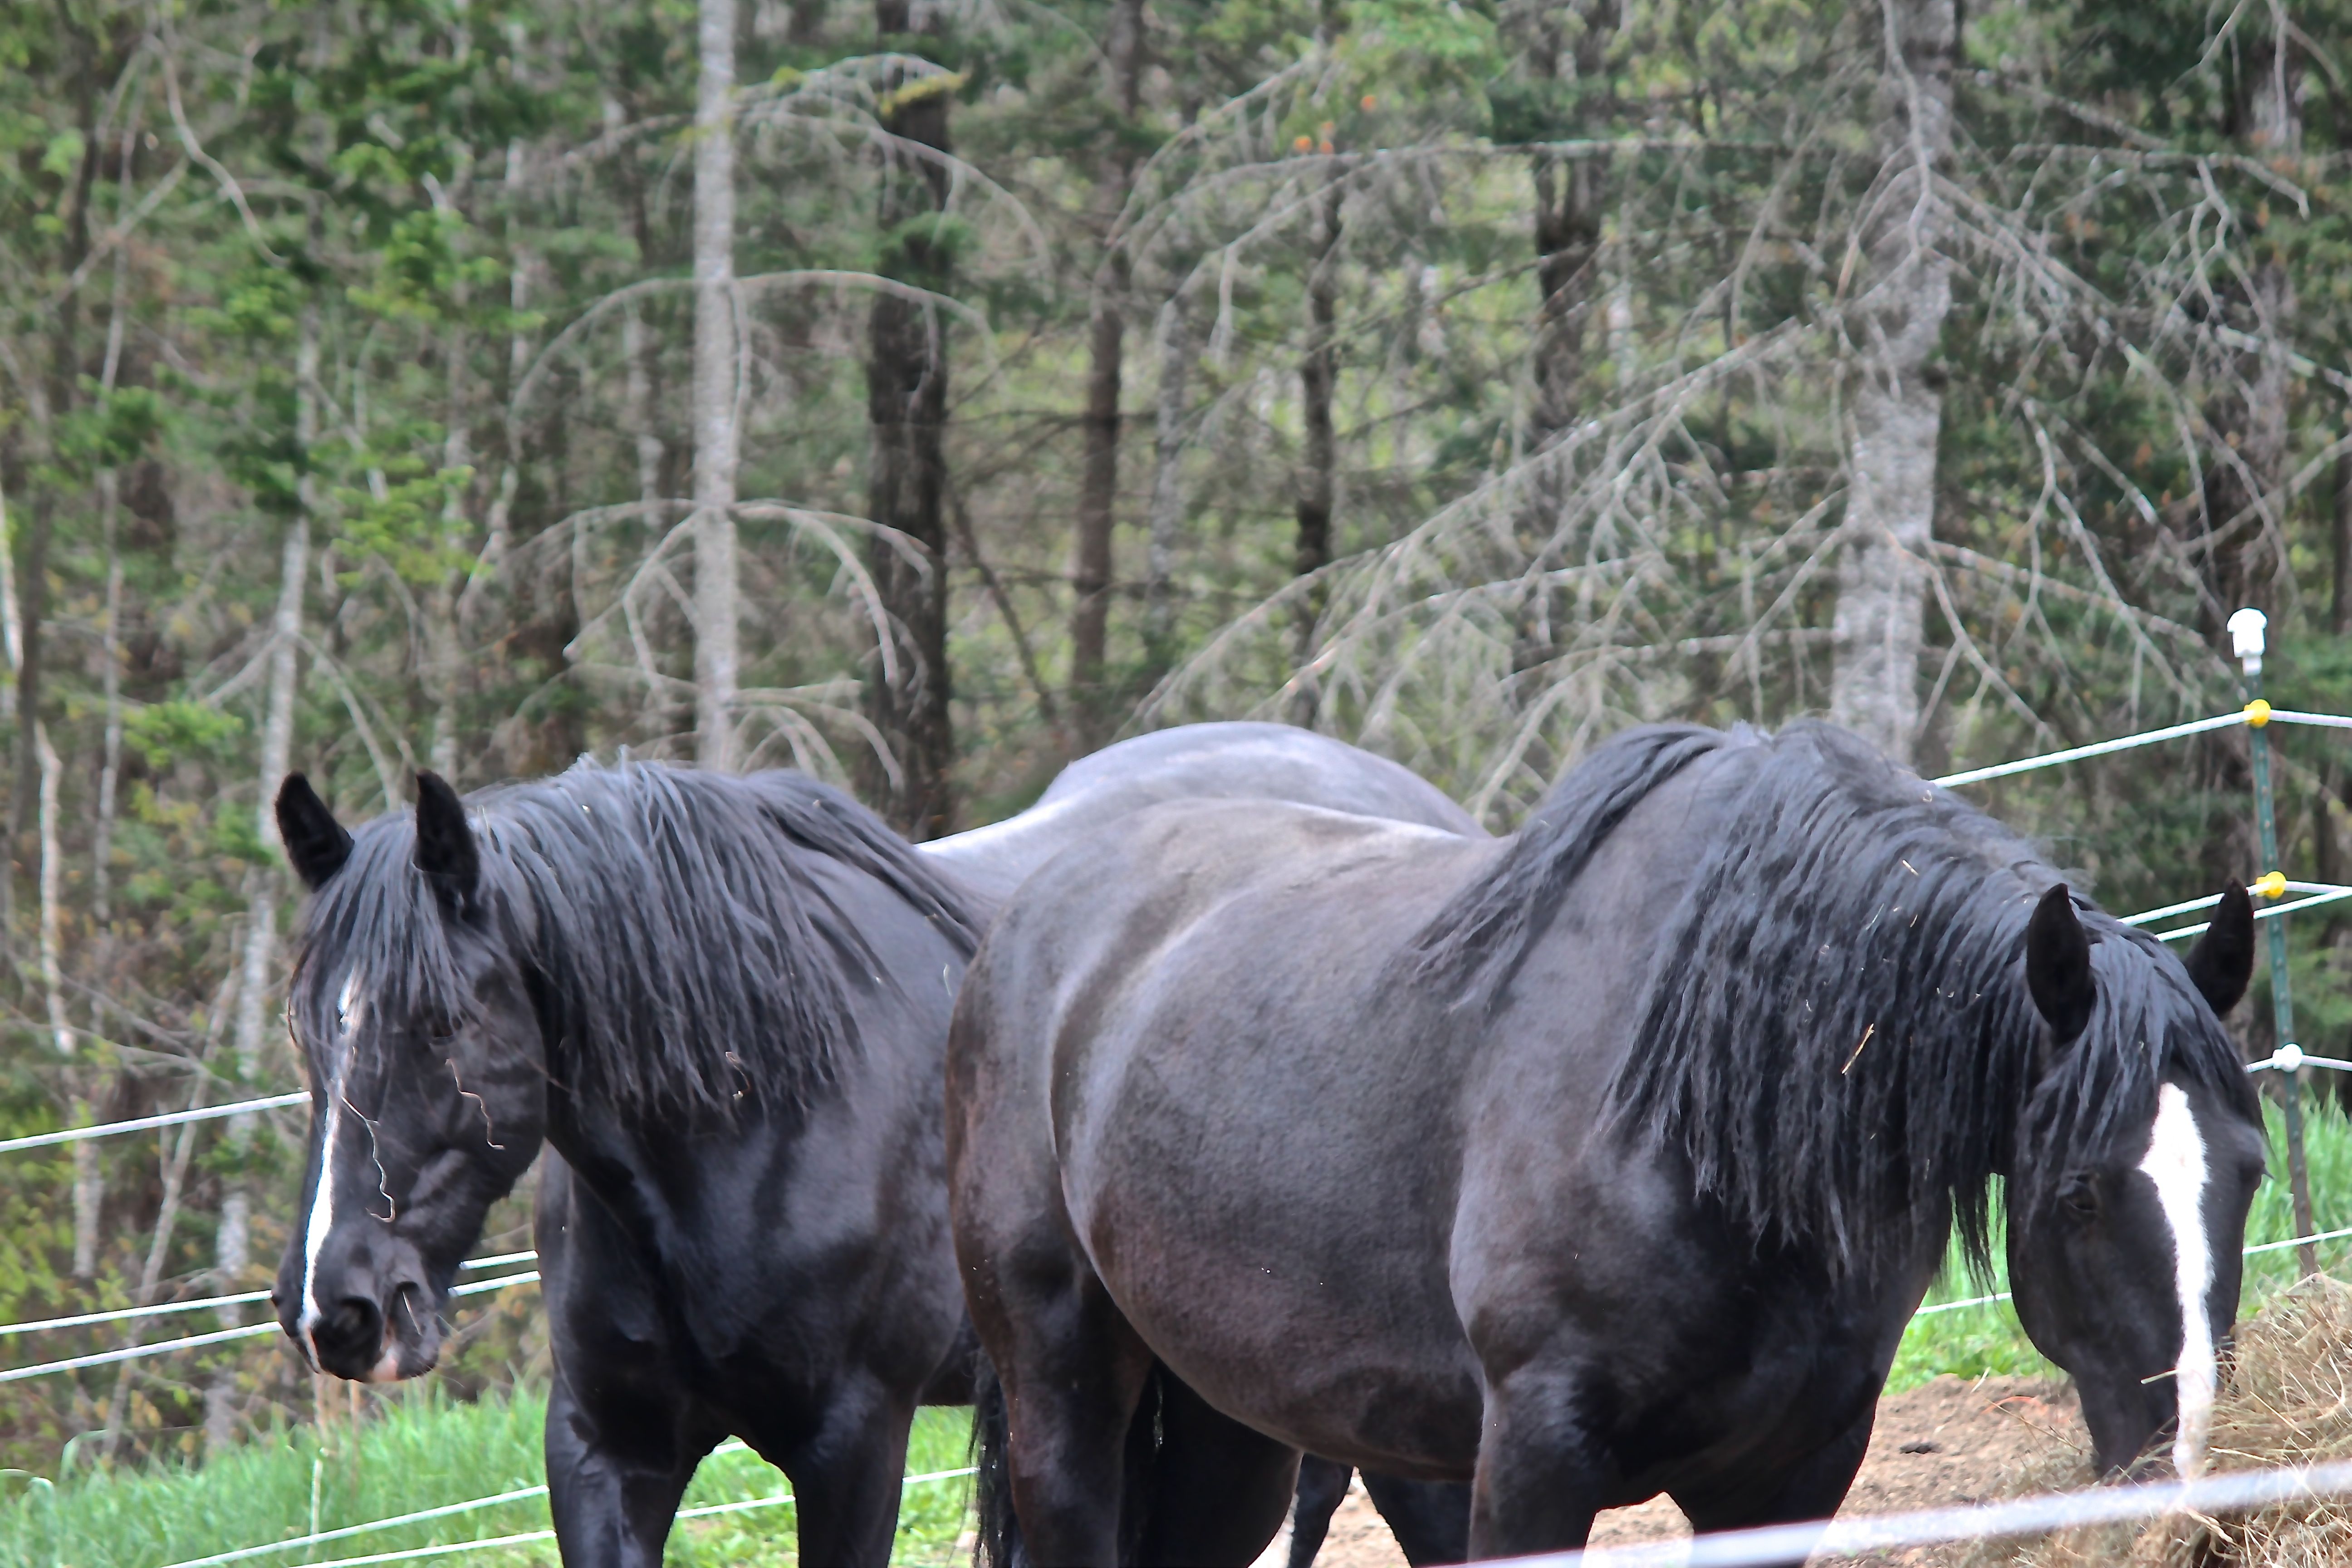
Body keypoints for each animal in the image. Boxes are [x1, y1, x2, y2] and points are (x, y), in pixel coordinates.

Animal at [268, 723, 1478, 1568]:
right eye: (305, 1024)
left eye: (439, 1023)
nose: (340, 1306)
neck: (749, 1116)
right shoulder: (607, 1448)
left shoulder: (852, 1445)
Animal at [946, 721, 2265, 1566]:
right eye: (2080, 1194)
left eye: (2249, 1171)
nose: (2192, 1459)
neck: (1701, 1113)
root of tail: (1030, 911)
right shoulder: (1538, 1453)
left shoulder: (1793, 1469)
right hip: (1064, 1379)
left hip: (1228, 1424)